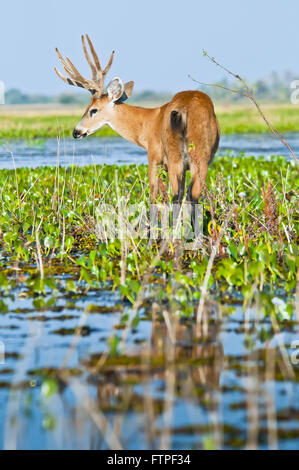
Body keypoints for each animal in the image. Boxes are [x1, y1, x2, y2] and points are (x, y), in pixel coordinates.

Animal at [55, 34, 220, 229]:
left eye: (93, 110)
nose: (76, 131)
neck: (149, 124)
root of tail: (185, 110)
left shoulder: (154, 157)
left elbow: (153, 196)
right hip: (201, 156)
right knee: (192, 196)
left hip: (175, 156)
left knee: (177, 195)